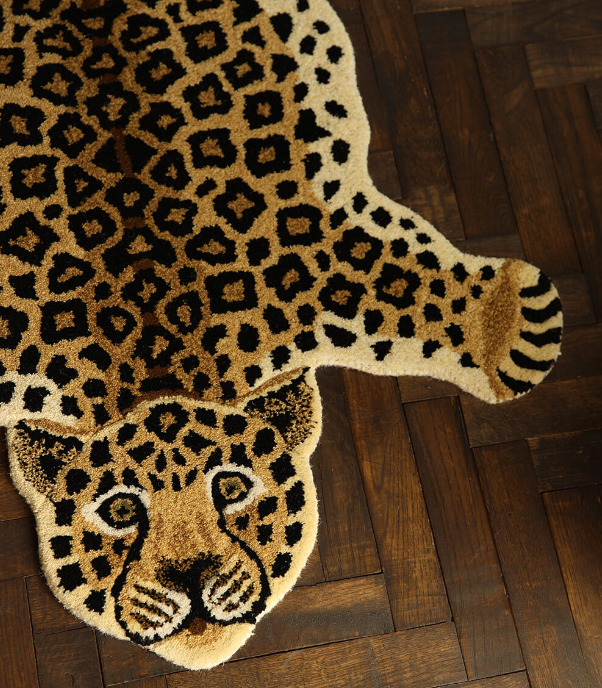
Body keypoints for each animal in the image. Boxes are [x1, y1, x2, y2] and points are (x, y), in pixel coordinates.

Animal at [0, 0, 562, 669]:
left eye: (232, 486)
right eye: (120, 510)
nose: (190, 574)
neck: (153, 353)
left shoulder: (304, 256)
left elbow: (390, 279)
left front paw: (513, 320)